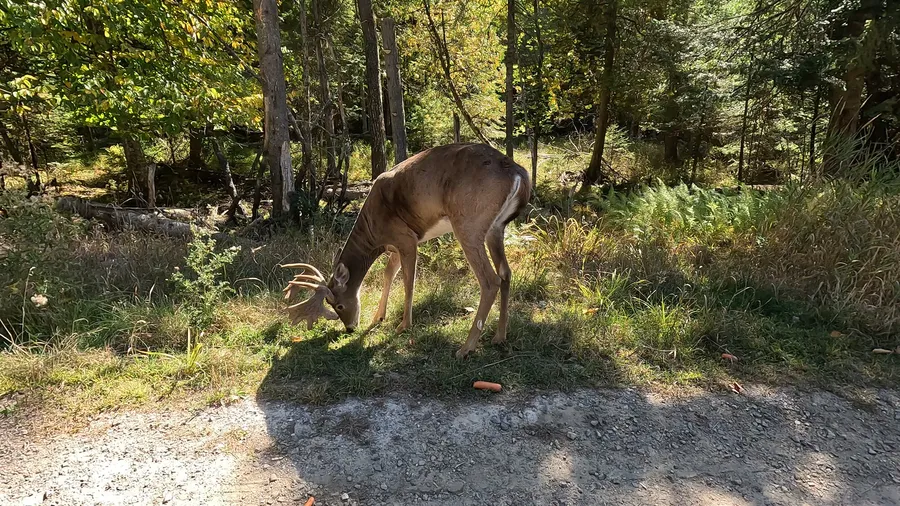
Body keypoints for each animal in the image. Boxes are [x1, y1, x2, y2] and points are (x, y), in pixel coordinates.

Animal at [281, 143, 530, 358]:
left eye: (338, 305)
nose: (350, 328)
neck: (373, 232)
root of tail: (518, 173)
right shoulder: (395, 245)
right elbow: (388, 273)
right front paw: (377, 318)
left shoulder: (406, 238)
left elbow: (409, 281)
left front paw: (403, 325)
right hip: (496, 227)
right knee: (506, 273)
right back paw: (499, 336)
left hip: (469, 223)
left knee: (490, 280)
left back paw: (465, 348)